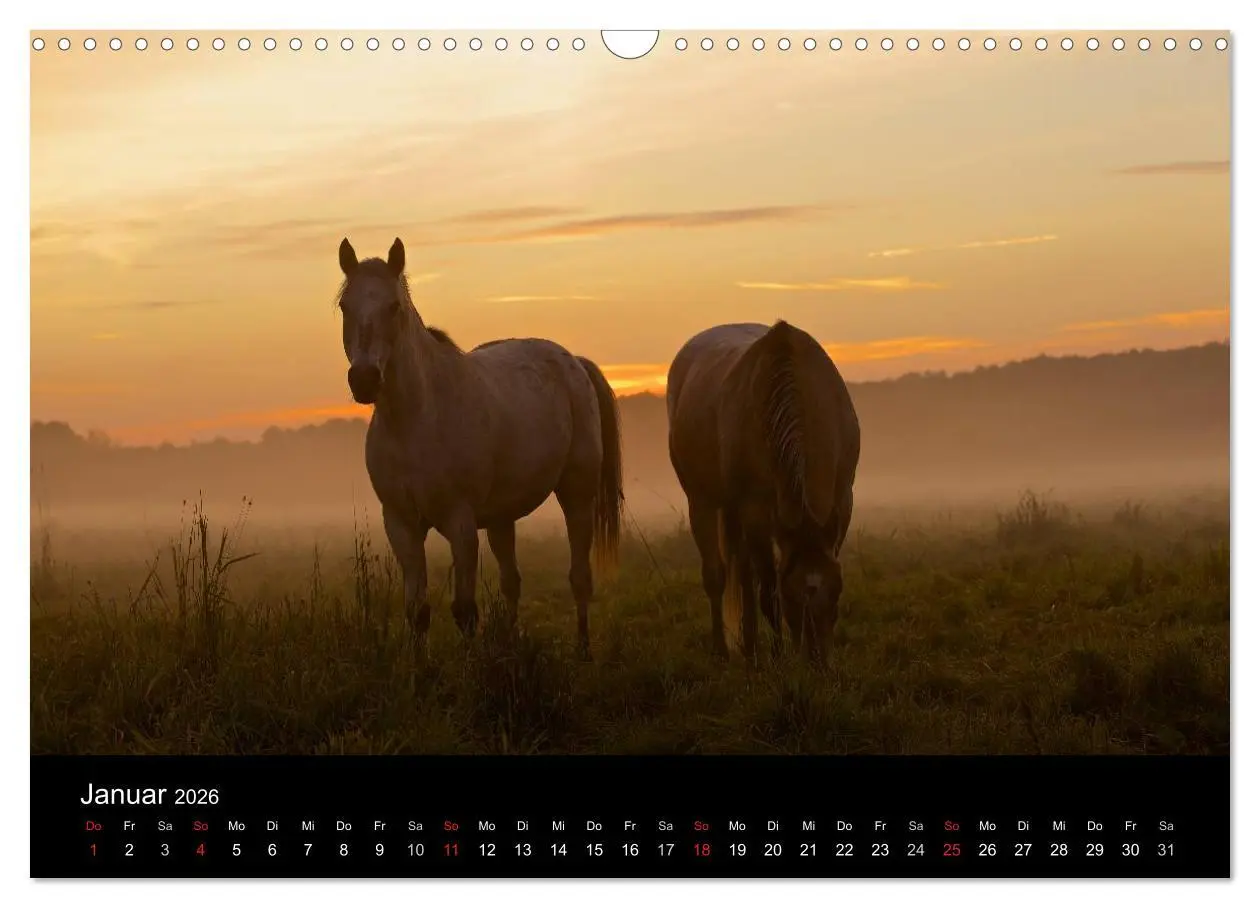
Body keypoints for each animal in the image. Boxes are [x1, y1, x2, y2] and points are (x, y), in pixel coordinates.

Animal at [334, 237, 622, 657]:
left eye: (394, 307)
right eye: (345, 306)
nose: (365, 380)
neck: (415, 420)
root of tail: (573, 362)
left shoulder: (461, 522)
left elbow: (465, 611)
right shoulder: (401, 523)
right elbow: (416, 610)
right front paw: (420, 669)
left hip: (577, 496)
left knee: (579, 577)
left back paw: (583, 650)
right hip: (502, 517)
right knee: (512, 581)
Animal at [666, 321, 860, 663]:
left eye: (836, 590)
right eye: (792, 595)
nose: (819, 662)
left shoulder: (841, 500)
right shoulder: (754, 510)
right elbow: (768, 591)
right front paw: (780, 657)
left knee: (743, 571)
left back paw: (749, 645)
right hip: (703, 502)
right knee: (719, 575)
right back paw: (727, 651)